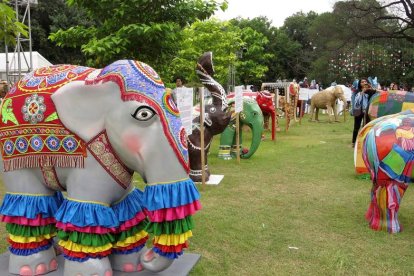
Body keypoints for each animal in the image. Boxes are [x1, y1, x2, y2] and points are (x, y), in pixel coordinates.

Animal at [0, 58, 202, 274]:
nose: (148, 256)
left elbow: (126, 206)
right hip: (11, 162)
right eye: (144, 114)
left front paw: (132, 265)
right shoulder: (88, 165)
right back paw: (35, 267)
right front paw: (92, 272)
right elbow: (86, 211)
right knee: (28, 201)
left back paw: (56, 252)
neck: (98, 82)